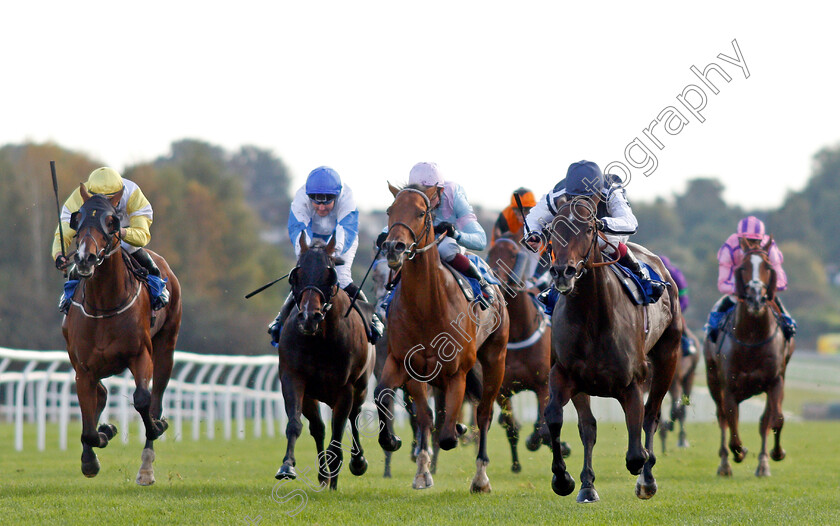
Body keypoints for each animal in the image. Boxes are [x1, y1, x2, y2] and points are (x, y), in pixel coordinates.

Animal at [62, 185, 180, 486]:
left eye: (111, 221)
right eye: (77, 219)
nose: (85, 258)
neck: (104, 305)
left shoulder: (140, 354)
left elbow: (143, 400)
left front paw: (156, 428)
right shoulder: (83, 368)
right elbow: (88, 425)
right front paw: (96, 448)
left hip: (166, 345)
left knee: (156, 398)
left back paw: (147, 465)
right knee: (102, 394)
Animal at [274, 237, 372, 492]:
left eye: (330, 275)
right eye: (296, 274)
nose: (309, 316)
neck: (320, 340)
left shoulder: (346, 388)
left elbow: (338, 433)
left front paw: (337, 474)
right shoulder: (293, 378)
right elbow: (295, 424)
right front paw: (287, 466)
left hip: (361, 388)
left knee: (354, 418)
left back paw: (356, 462)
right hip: (313, 395)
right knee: (318, 428)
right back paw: (323, 474)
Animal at [376, 184, 508, 492]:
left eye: (420, 212)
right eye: (390, 210)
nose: (393, 246)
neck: (426, 306)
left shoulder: (457, 370)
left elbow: (448, 432)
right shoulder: (405, 363)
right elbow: (398, 403)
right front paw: (416, 465)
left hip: (495, 358)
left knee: (484, 413)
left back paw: (481, 478)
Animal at [540, 197, 684, 504]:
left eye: (587, 229)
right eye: (553, 229)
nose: (562, 272)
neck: (592, 319)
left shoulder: (632, 382)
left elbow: (636, 450)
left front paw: (643, 470)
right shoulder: (564, 374)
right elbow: (556, 418)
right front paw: (564, 479)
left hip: (668, 358)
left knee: (652, 416)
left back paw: (647, 480)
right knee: (588, 427)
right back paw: (587, 486)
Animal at [704, 241, 796, 480]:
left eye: (768, 266)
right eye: (743, 266)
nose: (756, 297)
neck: (752, 337)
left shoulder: (775, 381)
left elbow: (776, 419)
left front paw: (776, 453)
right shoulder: (728, 386)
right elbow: (731, 423)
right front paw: (739, 453)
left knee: (765, 421)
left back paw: (763, 464)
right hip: (712, 380)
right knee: (722, 418)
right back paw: (725, 464)